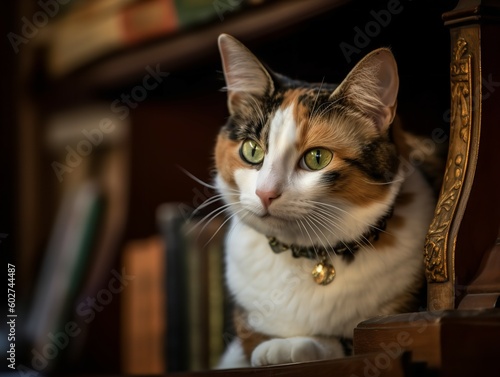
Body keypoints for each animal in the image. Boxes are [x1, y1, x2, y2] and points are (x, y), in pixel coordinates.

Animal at [213, 33, 436, 366]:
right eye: (252, 150)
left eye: (317, 158)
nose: (265, 193)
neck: (308, 253)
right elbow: (247, 343)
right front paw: (274, 346)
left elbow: (354, 341)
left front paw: (287, 348)